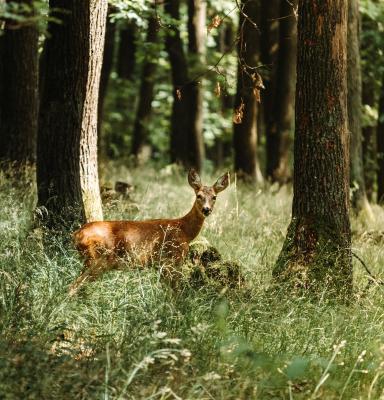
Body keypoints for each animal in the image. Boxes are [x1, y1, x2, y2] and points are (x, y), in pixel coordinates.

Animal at [70, 167, 228, 296]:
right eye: (198, 196)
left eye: (214, 197)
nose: (206, 209)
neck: (184, 230)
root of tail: (77, 234)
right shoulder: (171, 260)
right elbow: (174, 292)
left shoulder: (161, 265)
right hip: (97, 259)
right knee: (73, 286)